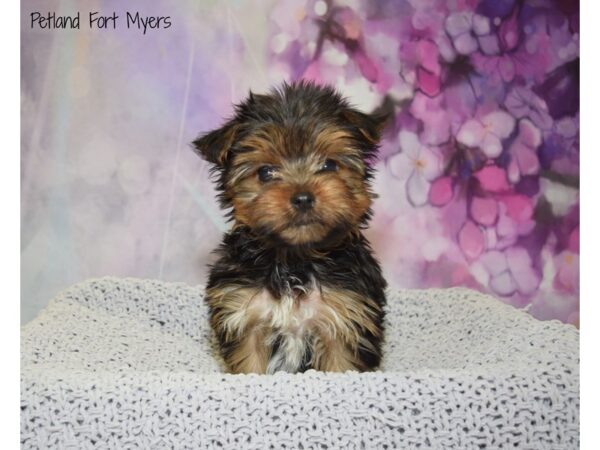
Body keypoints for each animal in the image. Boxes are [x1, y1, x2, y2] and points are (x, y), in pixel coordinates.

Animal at [193, 81, 390, 376]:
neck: (295, 260)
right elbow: (249, 365)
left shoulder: (347, 317)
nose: (303, 197)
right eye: (265, 172)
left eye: (329, 164)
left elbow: (341, 366)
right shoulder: (244, 315)